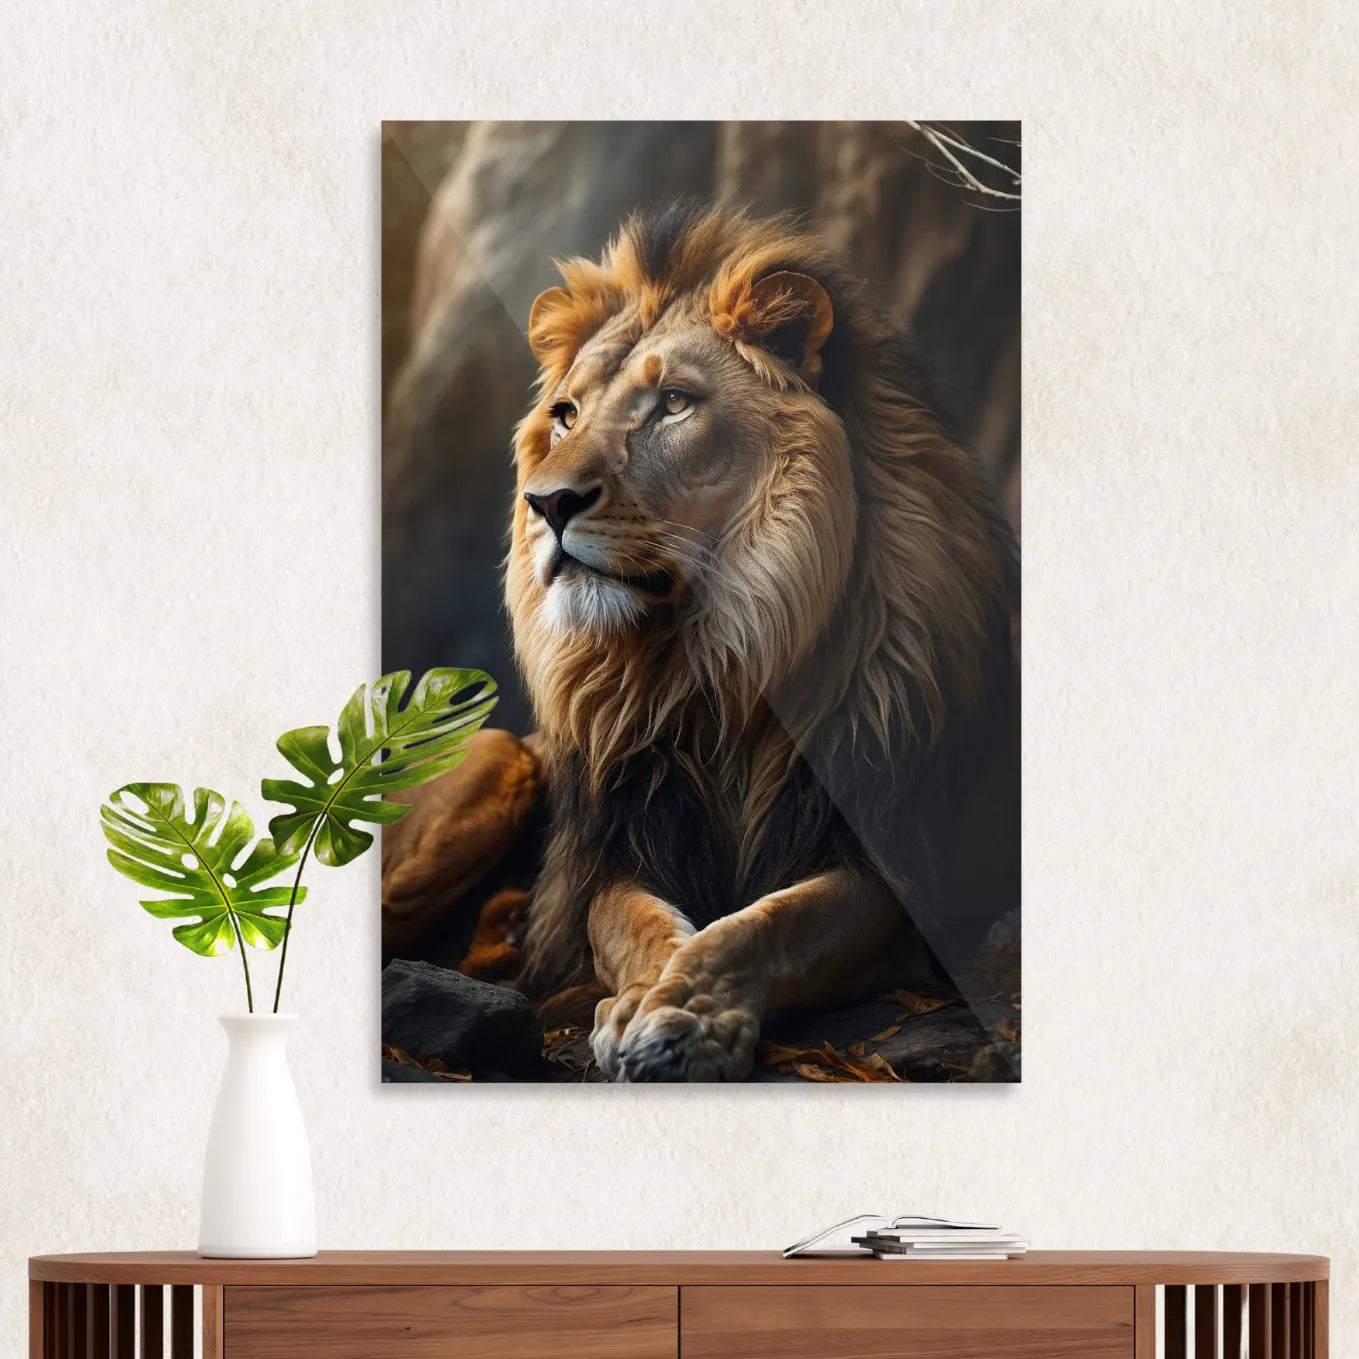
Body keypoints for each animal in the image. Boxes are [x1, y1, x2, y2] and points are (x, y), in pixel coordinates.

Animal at [506, 203, 1019, 1082]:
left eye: (673, 402)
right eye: (565, 414)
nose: (547, 503)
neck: (711, 666)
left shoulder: (890, 860)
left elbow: (770, 922)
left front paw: (682, 1016)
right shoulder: (614, 854)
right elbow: (634, 924)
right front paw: (644, 1002)